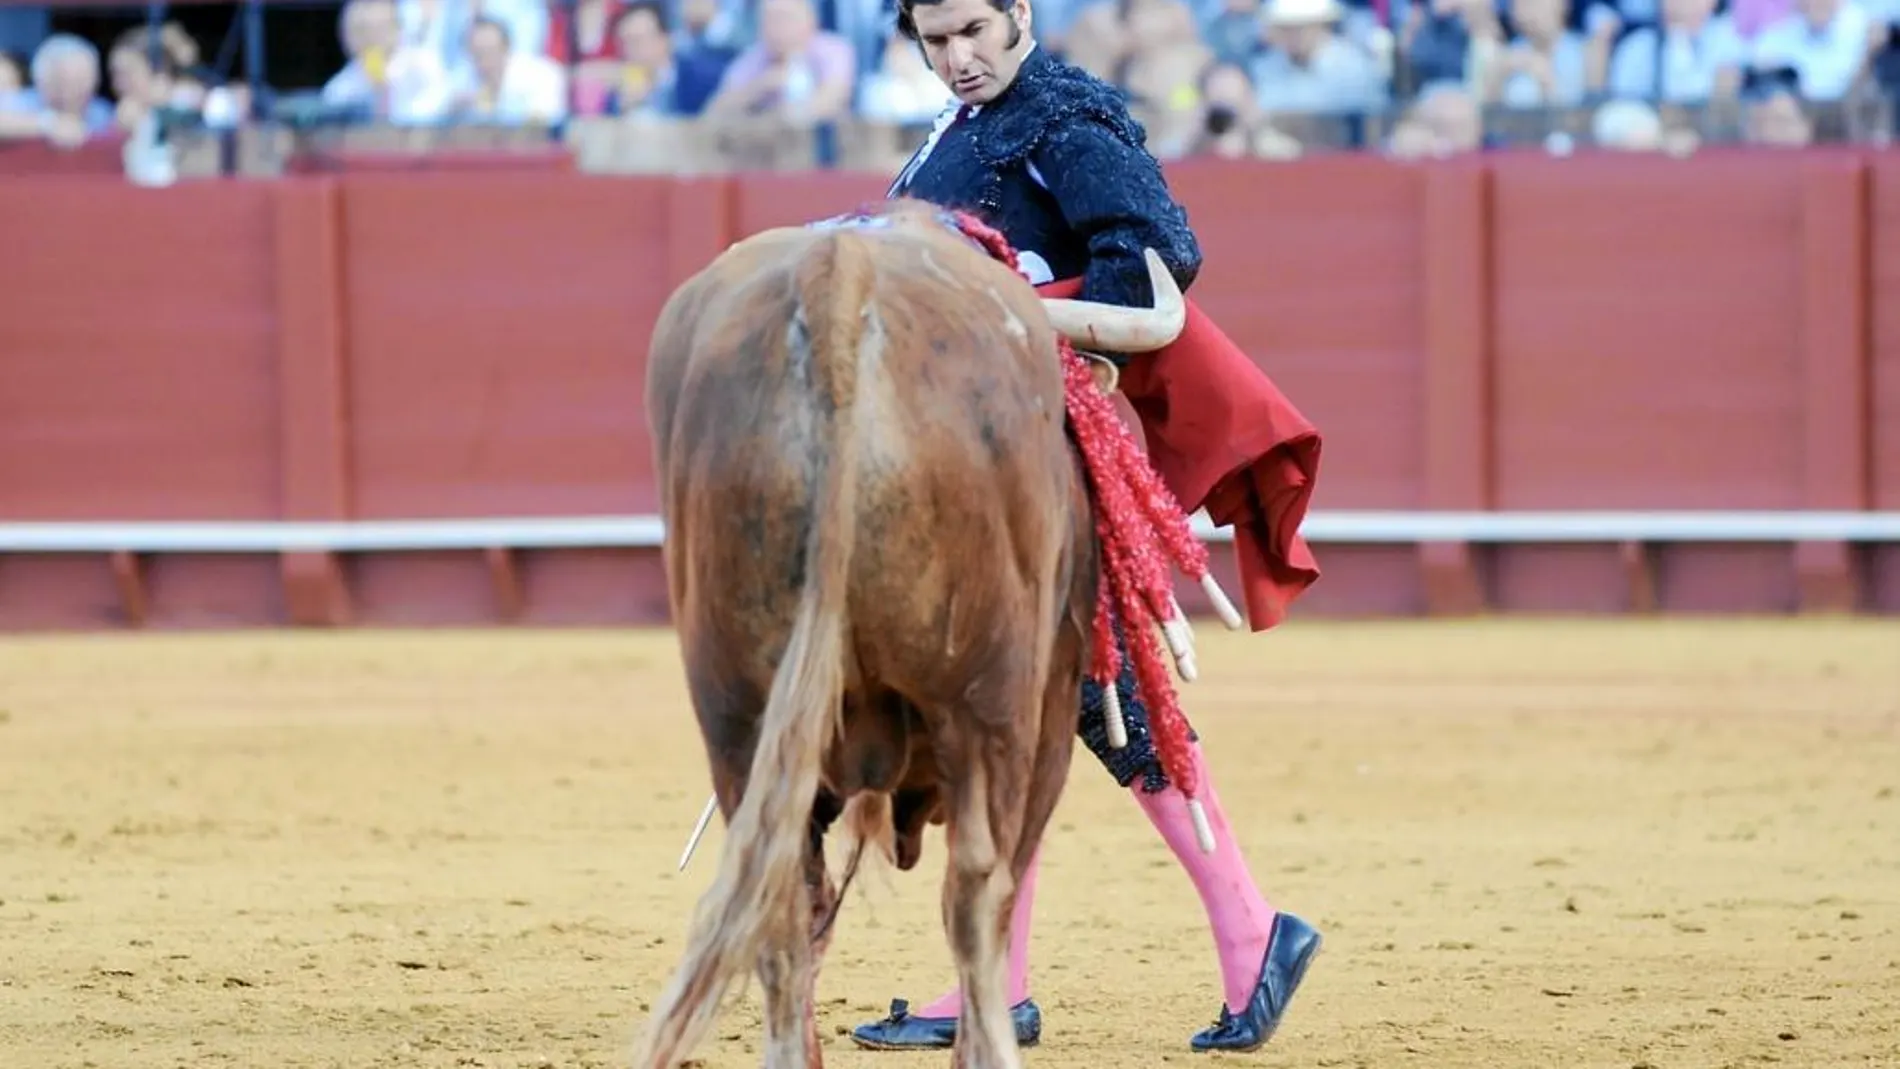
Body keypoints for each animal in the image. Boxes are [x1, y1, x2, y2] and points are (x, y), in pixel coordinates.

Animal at [630, 198, 1178, 1069]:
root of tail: (841, 277)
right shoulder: (1051, 707)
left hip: (734, 703)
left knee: (782, 901)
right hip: (990, 696)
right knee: (978, 889)